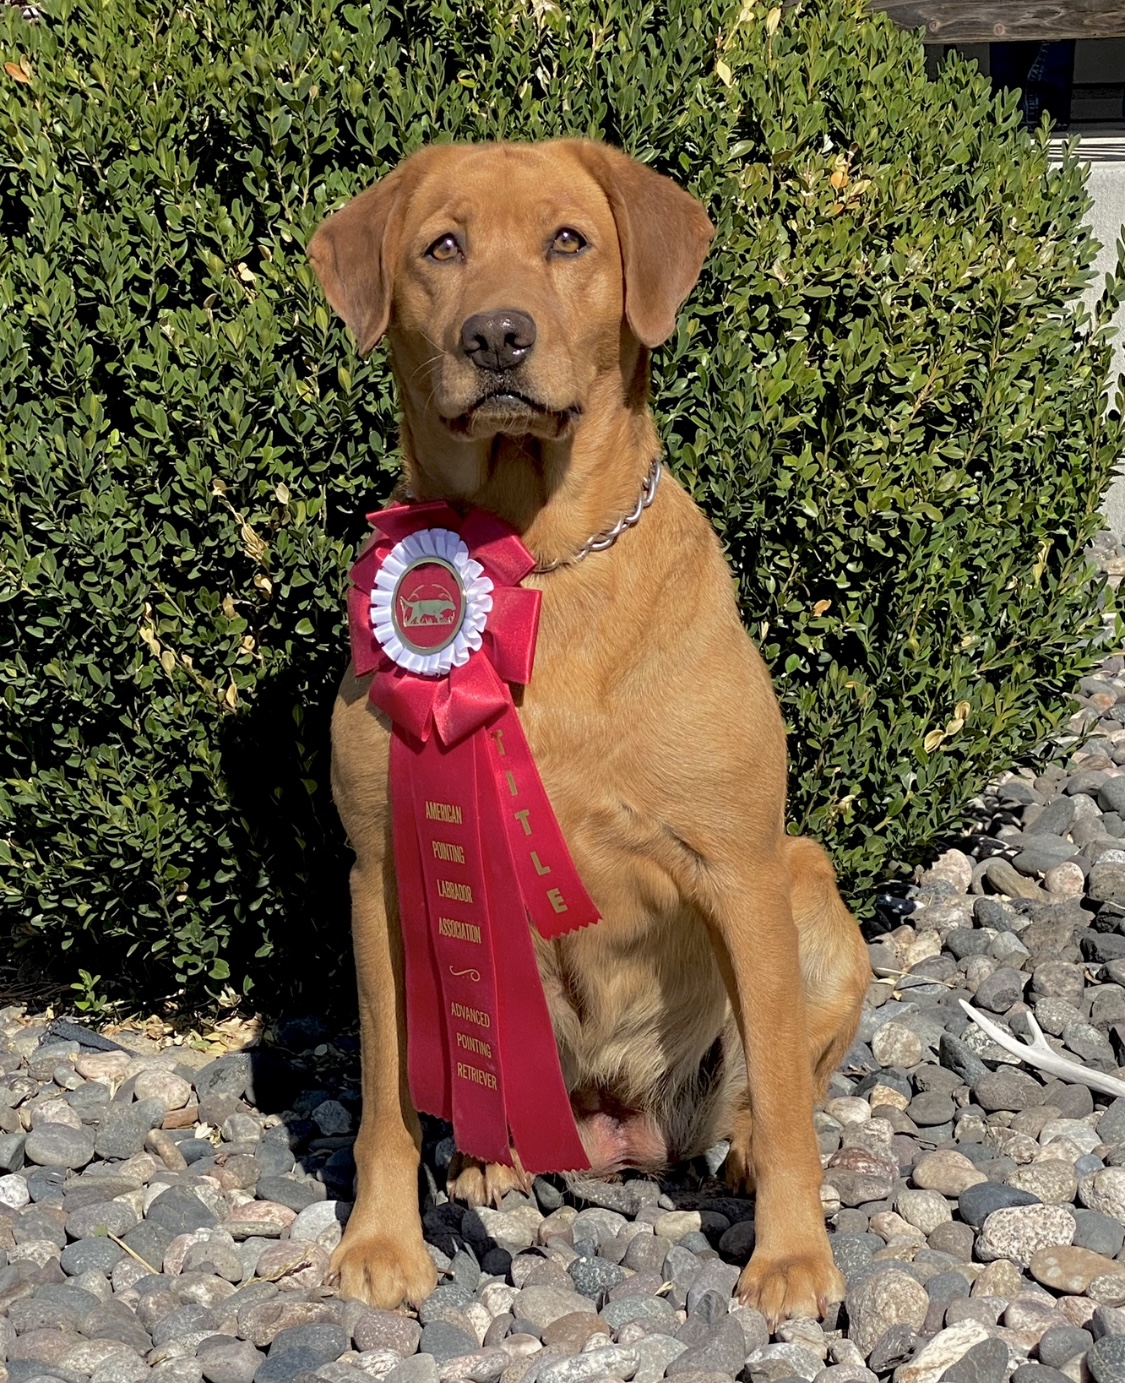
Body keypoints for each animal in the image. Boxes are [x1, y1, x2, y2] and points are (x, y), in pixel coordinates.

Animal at [307, 140, 869, 1327]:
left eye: (568, 240)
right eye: (443, 247)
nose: (496, 336)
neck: (534, 562)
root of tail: (621, 1131)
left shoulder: (738, 864)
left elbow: (785, 1095)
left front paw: (793, 1258)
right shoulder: (381, 874)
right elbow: (383, 1095)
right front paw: (381, 1240)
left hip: (808, 893)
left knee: (770, 1095)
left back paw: (745, 1160)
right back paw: (492, 1158)